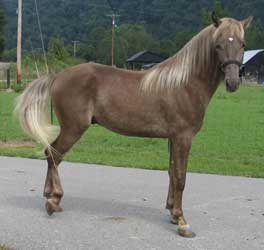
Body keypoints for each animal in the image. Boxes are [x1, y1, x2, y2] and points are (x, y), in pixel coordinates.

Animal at [15, 14, 253, 238]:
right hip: (73, 129)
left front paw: (172, 212)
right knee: (54, 155)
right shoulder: (183, 137)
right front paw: (182, 222)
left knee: (51, 154)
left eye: (242, 44)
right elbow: (180, 177)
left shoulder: (172, 139)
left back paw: (50, 196)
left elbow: (171, 172)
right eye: (218, 45)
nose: (233, 82)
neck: (184, 83)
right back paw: (53, 200)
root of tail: (58, 75)